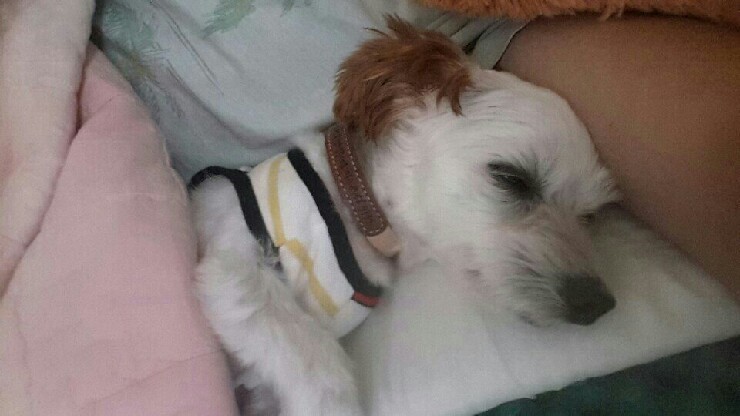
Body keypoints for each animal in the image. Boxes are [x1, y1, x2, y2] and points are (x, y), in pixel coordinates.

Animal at [190, 16, 618, 416]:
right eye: (512, 178)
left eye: (589, 214)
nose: (599, 304)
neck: (355, 212)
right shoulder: (233, 263)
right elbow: (308, 352)